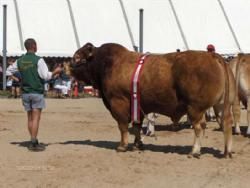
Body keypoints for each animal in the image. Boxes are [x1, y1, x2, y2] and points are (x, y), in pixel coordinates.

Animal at [71, 42, 234, 157]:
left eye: (78, 57)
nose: (68, 66)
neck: (110, 64)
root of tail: (212, 56)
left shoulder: (118, 103)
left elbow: (123, 126)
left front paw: (122, 146)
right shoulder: (138, 106)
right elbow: (137, 126)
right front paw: (137, 144)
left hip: (195, 108)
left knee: (200, 127)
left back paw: (194, 151)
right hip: (220, 106)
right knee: (226, 123)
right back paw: (228, 151)